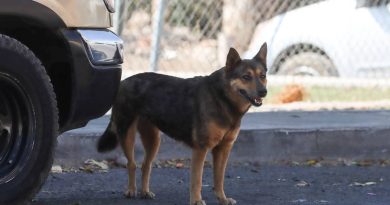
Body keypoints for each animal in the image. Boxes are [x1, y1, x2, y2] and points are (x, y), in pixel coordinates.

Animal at [97, 42, 268, 204]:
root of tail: (123, 82)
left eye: (262, 76)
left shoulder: (223, 149)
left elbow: (219, 179)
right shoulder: (201, 149)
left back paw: (145, 192)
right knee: (131, 164)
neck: (222, 98)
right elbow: (197, 180)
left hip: (154, 140)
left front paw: (222, 199)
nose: (264, 92)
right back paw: (131, 190)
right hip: (127, 135)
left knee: (146, 165)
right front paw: (197, 201)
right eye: (246, 77)